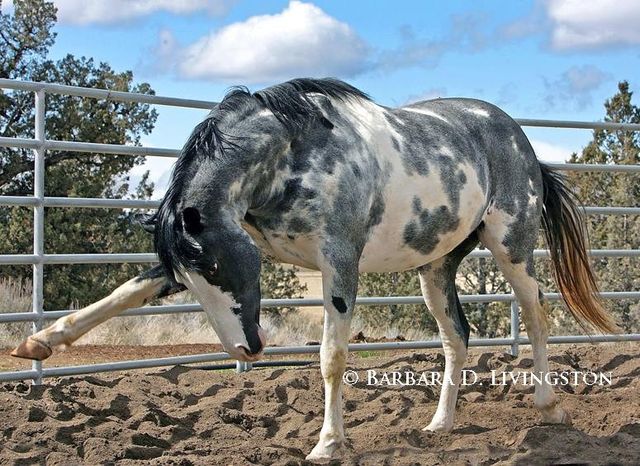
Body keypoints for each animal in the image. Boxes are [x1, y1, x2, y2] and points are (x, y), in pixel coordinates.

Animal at [12, 78, 618, 460]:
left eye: (217, 263)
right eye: (190, 278)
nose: (247, 349)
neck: (292, 156)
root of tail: (518, 139)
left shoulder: (339, 263)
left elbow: (331, 356)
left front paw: (327, 444)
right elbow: (122, 293)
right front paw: (38, 343)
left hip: (512, 247)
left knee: (536, 315)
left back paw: (548, 406)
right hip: (435, 268)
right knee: (458, 337)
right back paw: (439, 424)